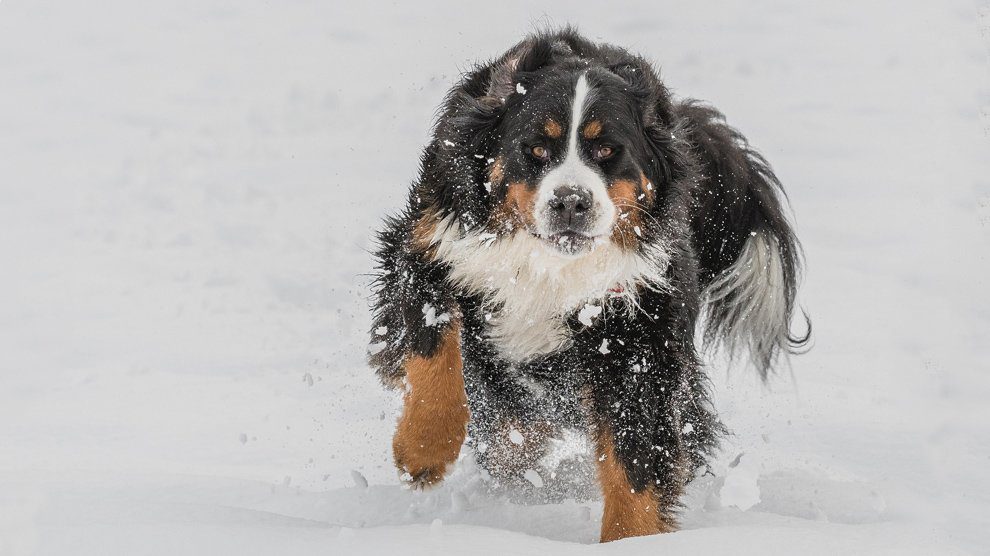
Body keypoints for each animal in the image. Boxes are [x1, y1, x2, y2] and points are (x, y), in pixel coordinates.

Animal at [368, 29, 808, 544]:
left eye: (607, 152)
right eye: (536, 149)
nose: (571, 202)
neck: (548, 267)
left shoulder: (634, 332)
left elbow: (635, 458)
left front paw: (630, 541)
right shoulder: (431, 249)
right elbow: (434, 351)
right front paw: (422, 450)